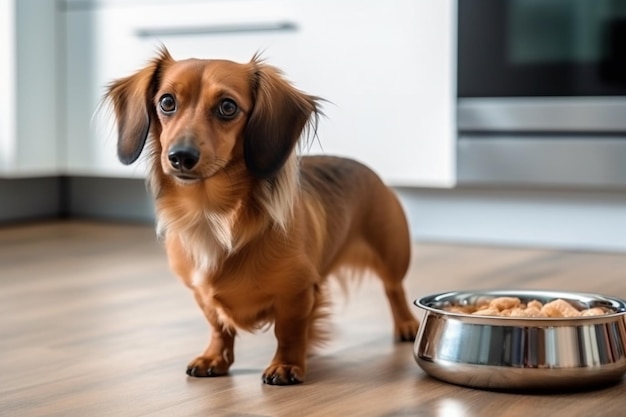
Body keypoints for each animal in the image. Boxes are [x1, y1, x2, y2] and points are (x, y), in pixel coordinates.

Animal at [105, 48, 420, 384]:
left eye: (228, 107)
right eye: (166, 102)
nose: (180, 157)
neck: (212, 214)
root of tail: (369, 172)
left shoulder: (297, 292)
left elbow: (289, 331)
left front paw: (287, 364)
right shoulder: (202, 295)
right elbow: (219, 326)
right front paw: (215, 358)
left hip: (393, 254)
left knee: (395, 289)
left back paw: (406, 324)